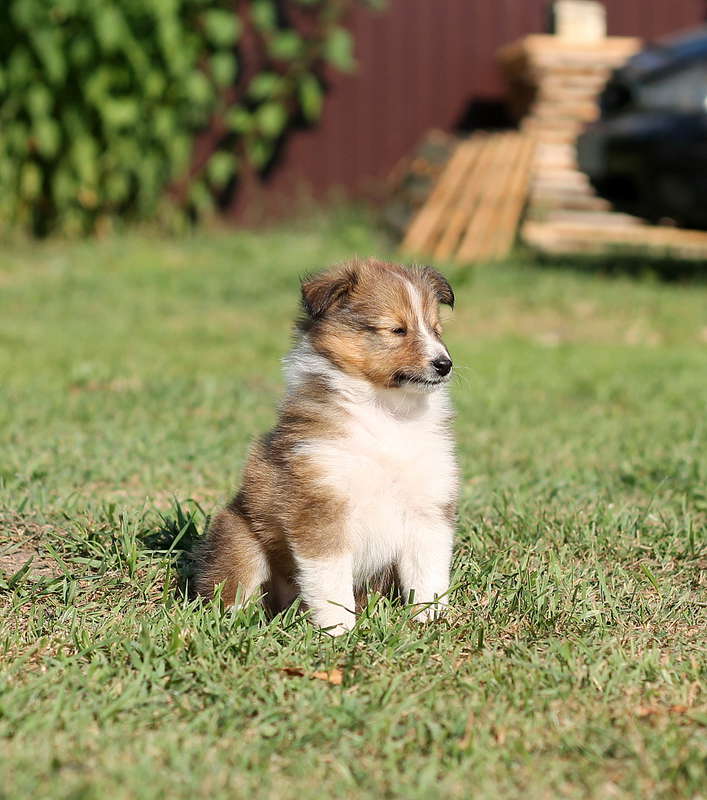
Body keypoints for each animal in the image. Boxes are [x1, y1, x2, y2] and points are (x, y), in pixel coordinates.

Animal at [194, 260, 460, 636]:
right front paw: (338, 631)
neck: (387, 413)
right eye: (396, 329)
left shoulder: (428, 506)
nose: (444, 364)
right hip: (241, 539)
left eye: (436, 330)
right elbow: (330, 579)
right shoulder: (321, 506)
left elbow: (429, 573)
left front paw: (431, 619)